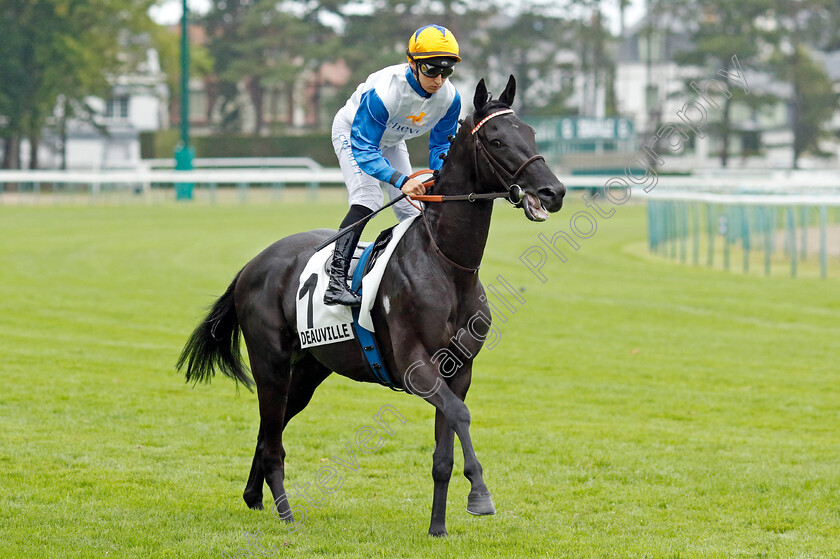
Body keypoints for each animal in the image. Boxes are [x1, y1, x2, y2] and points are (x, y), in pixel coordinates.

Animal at [176, 75, 564, 540]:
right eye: (496, 140)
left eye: (531, 133)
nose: (554, 192)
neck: (447, 265)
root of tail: (254, 263)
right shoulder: (415, 365)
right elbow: (461, 415)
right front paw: (480, 495)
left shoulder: (458, 370)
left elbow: (445, 449)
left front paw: (437, 527)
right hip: (270, 363)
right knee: (272, 440)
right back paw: (286, 514)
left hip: (309, 370)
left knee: (270, 430)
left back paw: (254, 497)